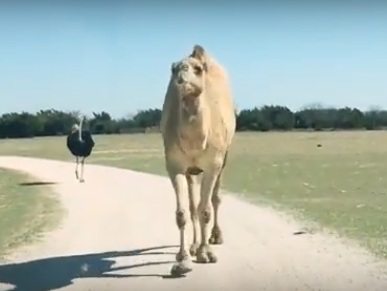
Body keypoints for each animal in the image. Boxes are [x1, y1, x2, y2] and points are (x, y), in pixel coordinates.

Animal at [160, 44, 236, 278]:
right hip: (191, 171)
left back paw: (215, 237)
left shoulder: (213, 163)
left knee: (215, 199)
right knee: (193, 204)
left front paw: (206, 253)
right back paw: (193, 246)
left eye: (198, 69)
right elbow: (183, 212)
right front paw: (183, 259)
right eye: (173, 69)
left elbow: (206, 210)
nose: (181, 77)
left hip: (224, 157)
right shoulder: (174, 165)